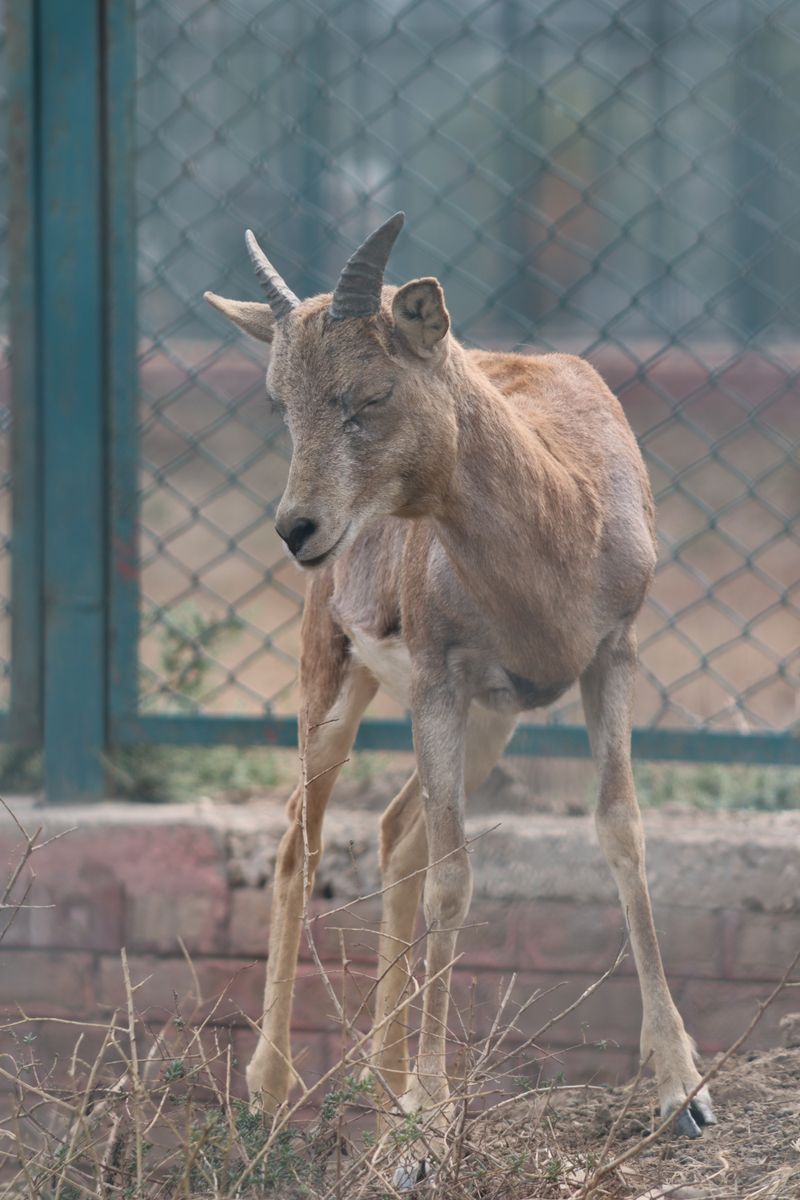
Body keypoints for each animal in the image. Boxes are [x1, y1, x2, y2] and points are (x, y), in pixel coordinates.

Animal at [204, 212, 715, 1172]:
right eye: (280, 400)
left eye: (369, 392)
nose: (299, 529)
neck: (563, 508)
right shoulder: (440, 683)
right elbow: (455, 879)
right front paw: (430, 1128)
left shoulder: (608, 660)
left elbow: (621, 833)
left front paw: (684, 1093)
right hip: (338, 686)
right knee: (301, 841)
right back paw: (272, 1092)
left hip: (489, 724)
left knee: (395, 832)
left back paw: (384, 1085)